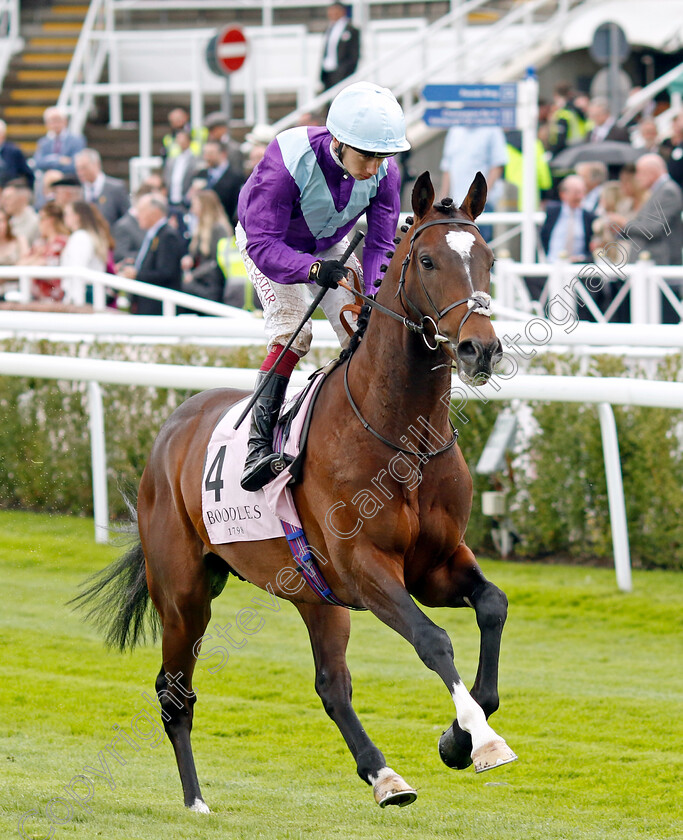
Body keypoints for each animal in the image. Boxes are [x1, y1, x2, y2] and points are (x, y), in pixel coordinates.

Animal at [76, 172, 512, 812]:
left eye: (488, 260)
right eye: (429, 260)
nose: (482, 348)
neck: (401, 435)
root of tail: (172, 428)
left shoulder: (435, 565)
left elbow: (492, 606)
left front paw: (457, 737)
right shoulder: (366, 566)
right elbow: (432, 641)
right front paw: (481, 741)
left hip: (315, 595)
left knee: (331, 685)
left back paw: (385, 776)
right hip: (184, 594)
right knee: (174, 691)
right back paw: (196, 801)